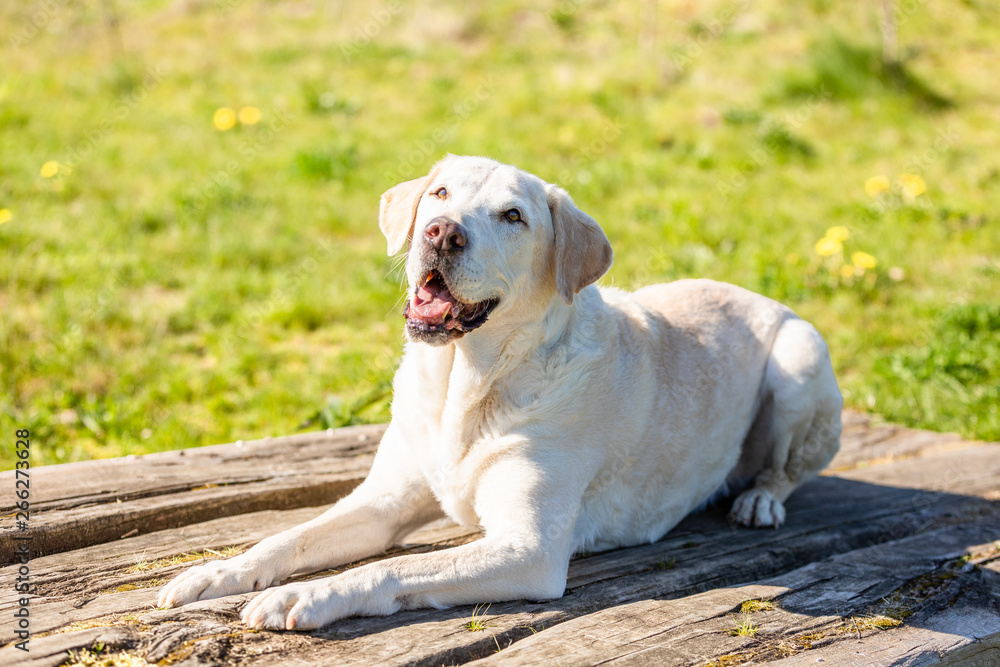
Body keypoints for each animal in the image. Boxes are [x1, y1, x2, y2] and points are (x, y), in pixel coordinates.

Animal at [158, 155, 844, 632]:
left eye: (513, 216)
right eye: (439, 195)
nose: (440, 232)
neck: (463, 384)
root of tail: (756, 292)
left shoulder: (527, 547)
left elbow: (391, 566)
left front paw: (303, 594)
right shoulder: (384, 502)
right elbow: (291, 537)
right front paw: (216, 573)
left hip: (799, 359)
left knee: (786, 470)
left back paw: (759, 499)